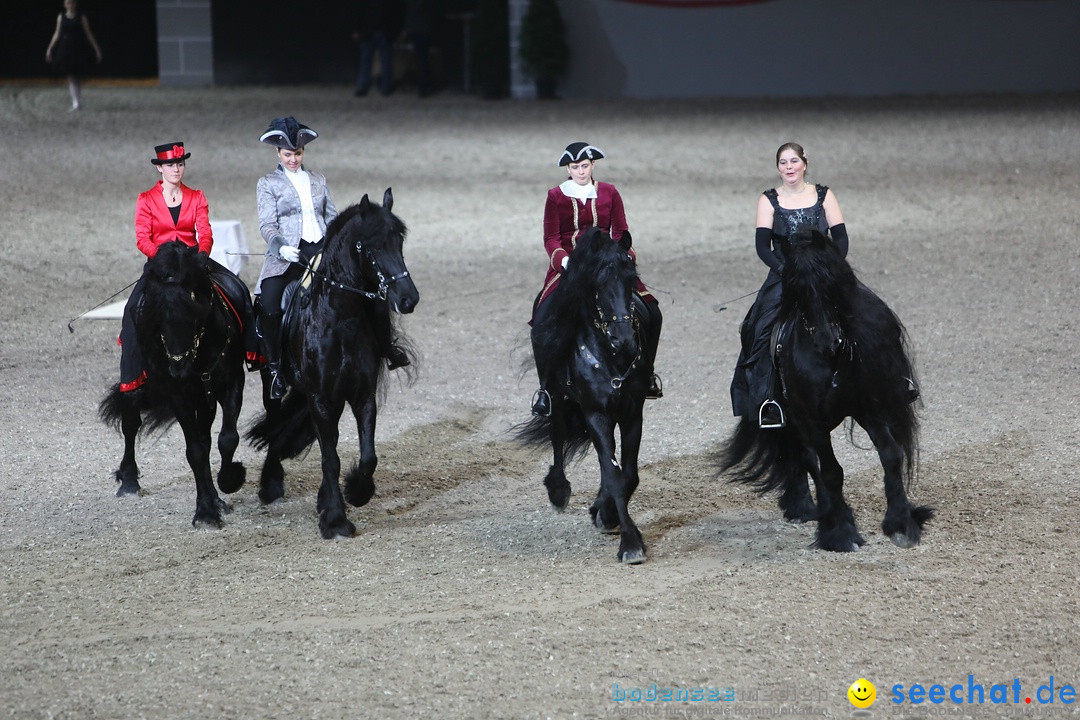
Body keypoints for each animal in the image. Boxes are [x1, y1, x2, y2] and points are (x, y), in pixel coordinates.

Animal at [98, 241, 247, 528]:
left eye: (196, 315)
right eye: (157, 318)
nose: (178, 369)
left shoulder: (232, 382)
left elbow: (227, 439)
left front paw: (229, 482)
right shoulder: (180, 397)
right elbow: (195, 453)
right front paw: (205, 512)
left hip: (205, 399)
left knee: (207, 438)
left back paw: (218, 498)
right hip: (134, 383)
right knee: (131, 423)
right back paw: (129, 483)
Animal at [245, 188, 416, 537]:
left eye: (399, 240)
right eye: (368, 246)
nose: (408, 299)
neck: (340, 319)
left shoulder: (362, 396)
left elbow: (367, 455)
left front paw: (356, 492)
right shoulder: (321, 399)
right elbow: (329, 458)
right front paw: (336, 521)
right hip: (275, 384)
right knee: (276, 426)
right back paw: (271, 485)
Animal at [516, 227, 652, 565]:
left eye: (632, 278)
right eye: (598, 284)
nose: (625, 340)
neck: (610, 354)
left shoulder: (632, 411)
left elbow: (627, 474)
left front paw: (606, 513)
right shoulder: (595, 412)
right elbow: (615, 474)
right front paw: (630, 544)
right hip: (555, 394)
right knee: (556, 431)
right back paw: (558, 490)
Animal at [721, 227, 933, 557]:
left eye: (831, 284)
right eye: (797, 291)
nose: (828, 341)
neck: (831, 360)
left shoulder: (867, 407)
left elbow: (890, 455)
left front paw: (901, 524)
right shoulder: (812, 418)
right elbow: (832, 471)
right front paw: (841, 534)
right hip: (794, 420)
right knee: (809, 461)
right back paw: (815, 511)